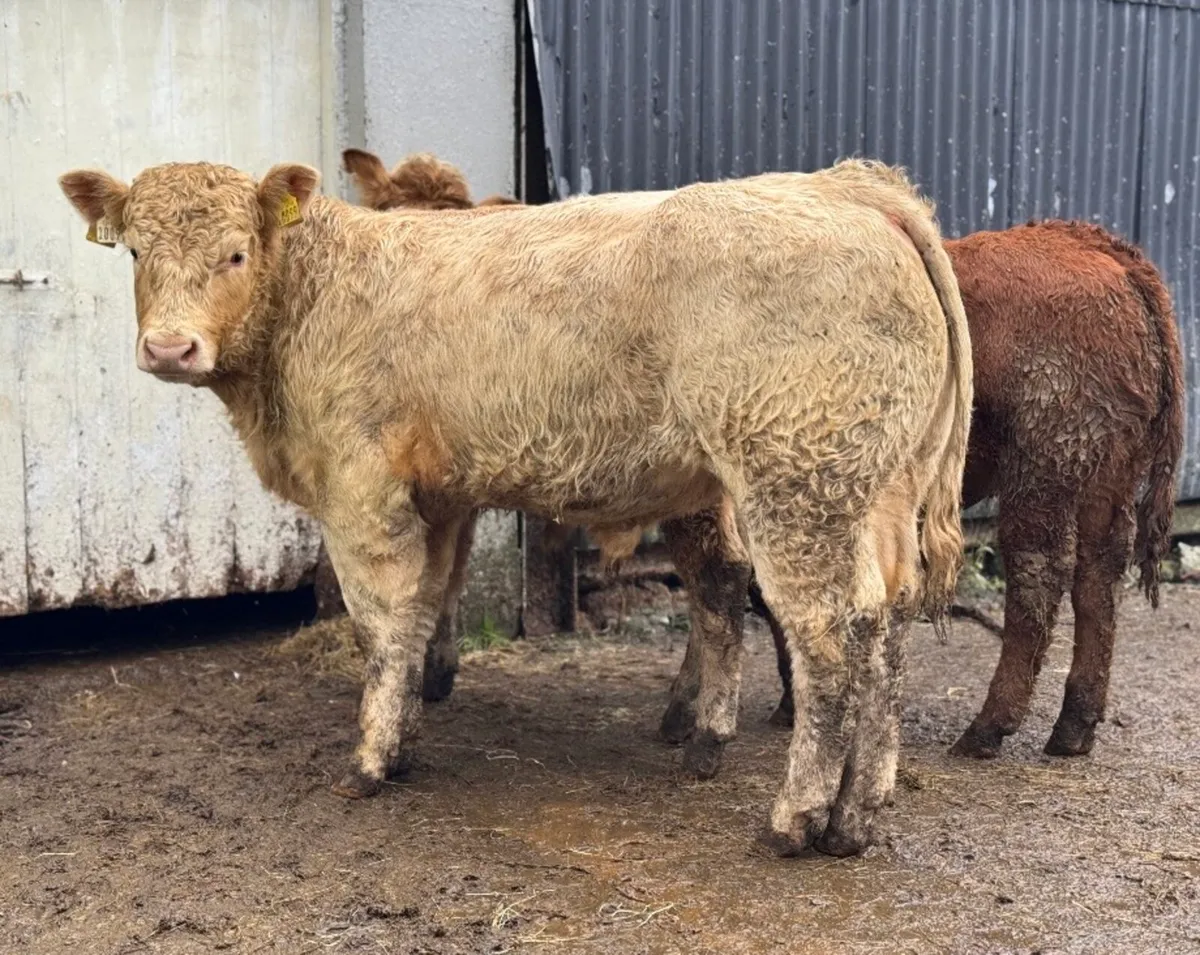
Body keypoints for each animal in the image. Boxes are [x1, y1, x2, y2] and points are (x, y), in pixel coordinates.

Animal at [59, 157, 971, 855]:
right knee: (877, 622)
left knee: (825, 633)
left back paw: (796, 818)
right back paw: (854, 812)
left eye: (237, 253)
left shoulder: (360, 488)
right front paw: (408, 733)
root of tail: (848, 186)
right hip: (873, 490)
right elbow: (425, 609)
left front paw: (368, 760)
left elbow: (382, 621)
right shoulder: (438, 496)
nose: (169, 346)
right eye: (134, 249)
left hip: (797, 482)